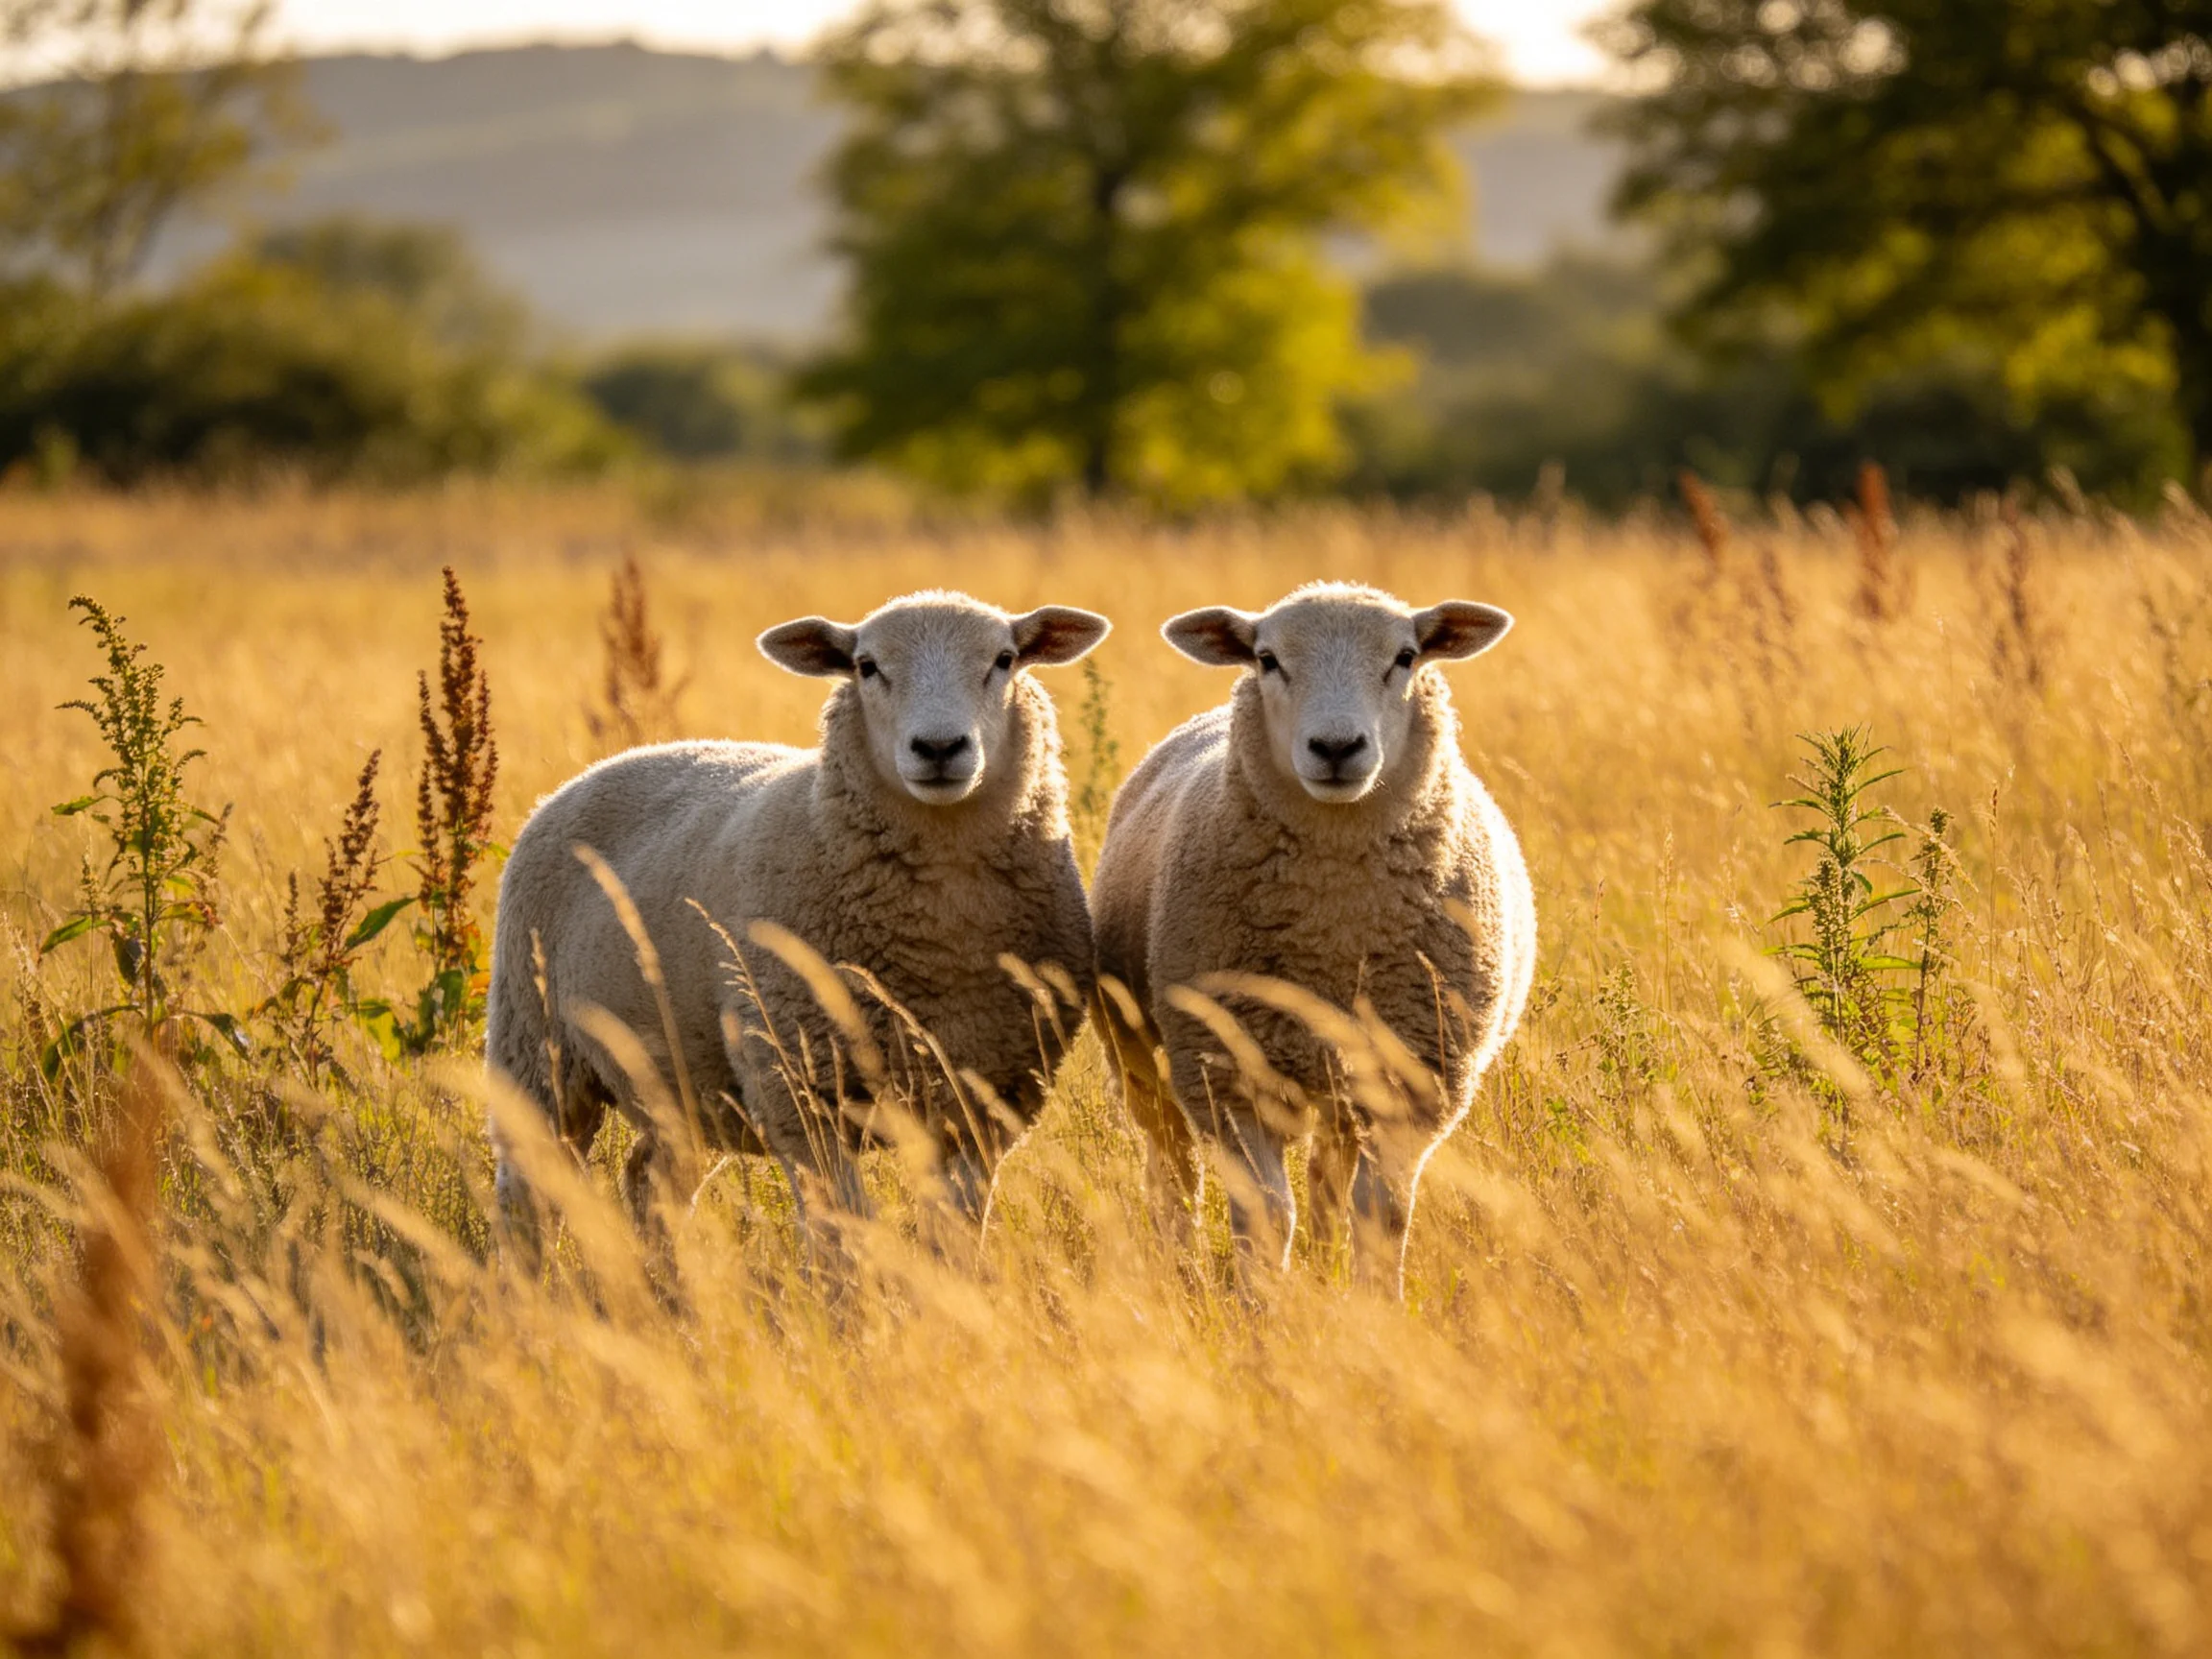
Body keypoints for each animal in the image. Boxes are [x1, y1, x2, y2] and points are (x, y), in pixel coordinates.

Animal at [486, 589, 1110, 1262]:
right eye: (866, 666)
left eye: (1004, 659)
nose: (940, 748)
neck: (939, 942)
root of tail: (609, 761)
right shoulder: (802, 1100)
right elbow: (844, 1240)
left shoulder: (986, 1102)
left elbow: (956, 1235)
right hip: (536, 1049)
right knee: (527, 1196)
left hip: (683, 1085)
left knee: (650, 1180)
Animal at [1089, 582, 1535, 1295]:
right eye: (1268, 659)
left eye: (1406, 657)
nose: (1335, 747)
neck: (1334, 925)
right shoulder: (1226, 1072)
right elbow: (1266, 1213)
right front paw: (1261, 1307)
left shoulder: (1416, 1078)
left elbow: (1380, 1214)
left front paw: (1375, 1306)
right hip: (1139, 1051)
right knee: (1171, 1170)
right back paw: (1178, 1266)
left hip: (1346, 1075)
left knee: (1329, 1179)